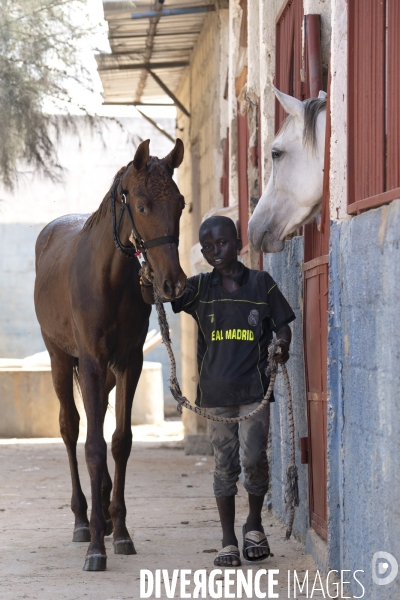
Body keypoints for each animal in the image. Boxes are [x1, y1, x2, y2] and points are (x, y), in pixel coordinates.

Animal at [34, 138, 186, 568]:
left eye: (181, 204)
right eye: (141, 205)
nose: (173, 284)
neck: (110, 279)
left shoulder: (128, 363)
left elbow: (119, 441)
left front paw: (119, 531)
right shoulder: (89, 360)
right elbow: (92, 444)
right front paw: (96, 547)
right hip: (59, 358)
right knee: (71, 428)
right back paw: (83, 521)